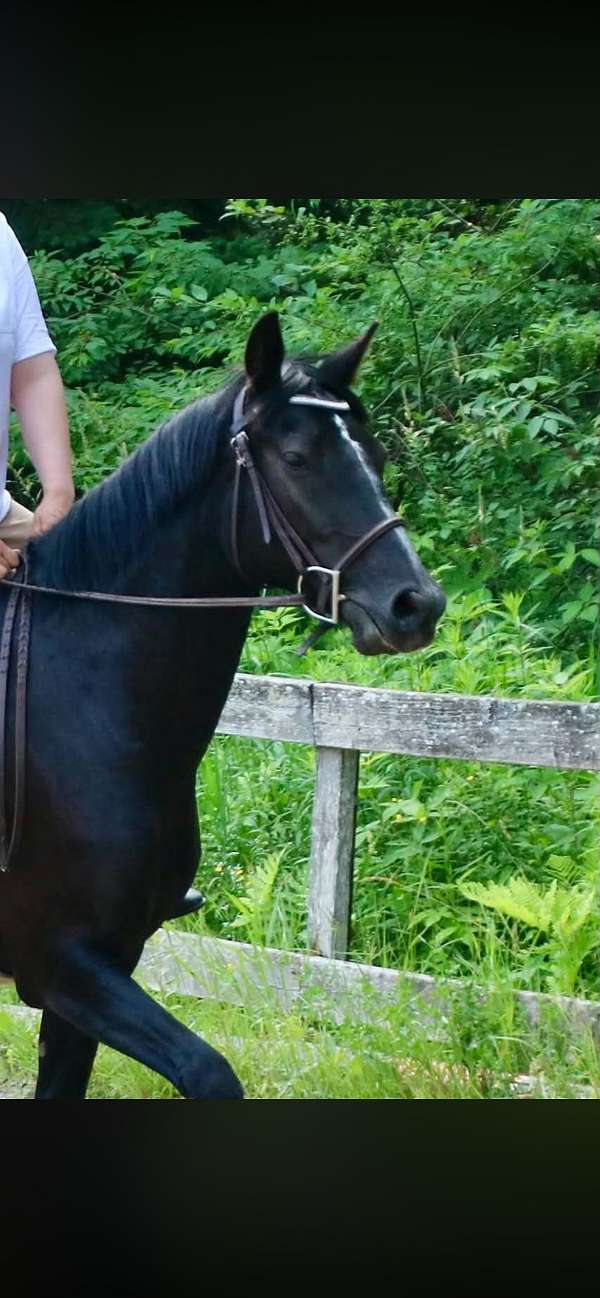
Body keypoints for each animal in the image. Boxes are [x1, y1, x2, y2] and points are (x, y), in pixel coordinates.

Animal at [0, 311, 446, 1099]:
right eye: (296, 458)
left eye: (374, 455)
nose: (415, 604)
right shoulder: (58, 959)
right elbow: (210, 1073)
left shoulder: (107, 958)